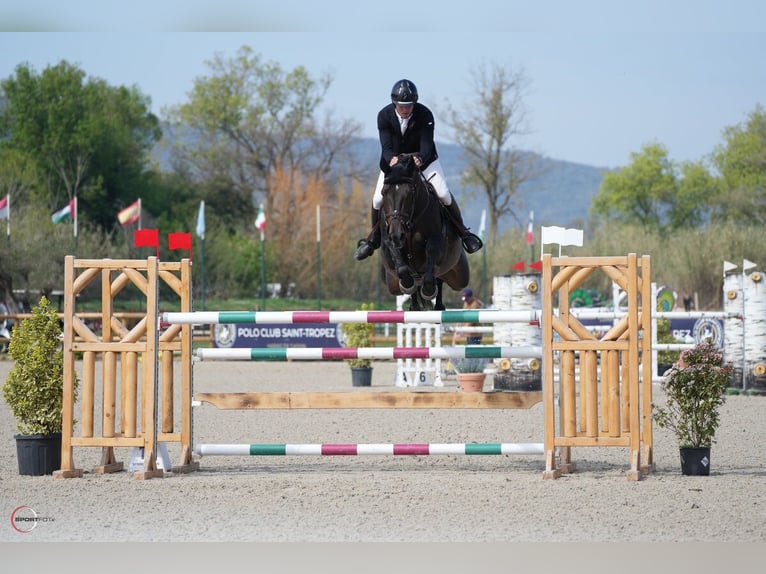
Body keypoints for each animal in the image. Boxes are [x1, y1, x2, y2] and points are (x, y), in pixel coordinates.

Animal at [376, 153, 468, 312]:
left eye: (409, 193)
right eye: (384, 192)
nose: (397, 235)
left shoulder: (436, 240)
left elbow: (431, 254)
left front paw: (429, 290)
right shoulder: (389, 240)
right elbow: (402, 268)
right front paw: (408, 284)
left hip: (460, 275)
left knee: (440, 279)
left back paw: (438, 305)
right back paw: (415, 306)